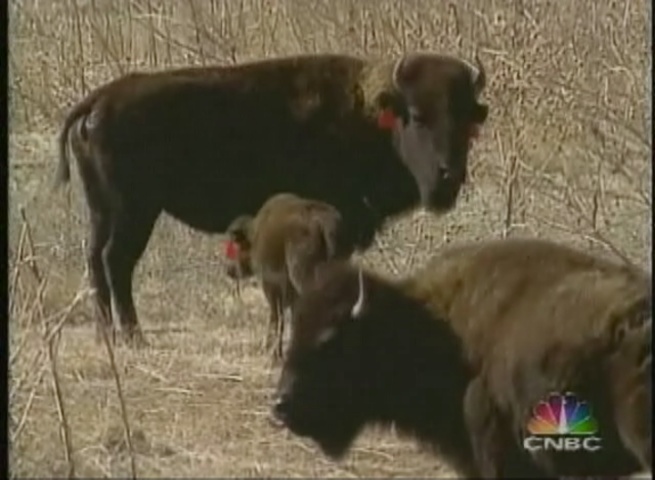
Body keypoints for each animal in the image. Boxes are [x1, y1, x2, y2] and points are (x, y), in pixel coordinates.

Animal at [55, 52, 489, 346]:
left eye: (467, 119)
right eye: (417, 116)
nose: (449, 176)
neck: (367, 115)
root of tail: (100, 99)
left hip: (103, 209)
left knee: (96, 258)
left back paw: (107, 335)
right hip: (135, 210)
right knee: (116, 260)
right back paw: (133, 336)